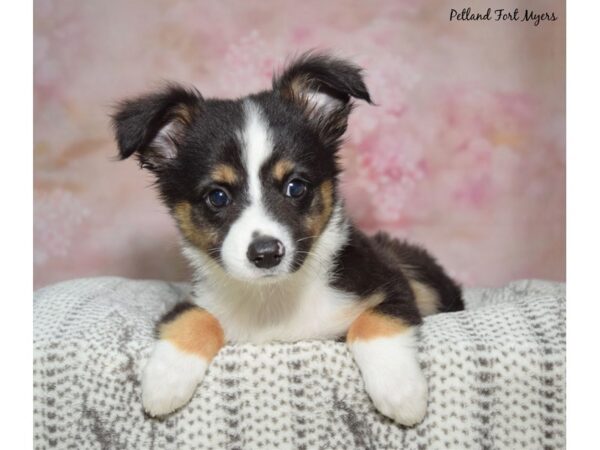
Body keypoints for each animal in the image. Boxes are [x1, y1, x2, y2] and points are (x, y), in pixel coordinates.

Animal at [112, 52, 462, 426]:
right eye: (217, 196)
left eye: (295, 187)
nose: (266, 253)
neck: (275, 299)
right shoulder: (200, 297)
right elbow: (190, 316)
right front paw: (165, 381)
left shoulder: (390, 282)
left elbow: (373, 322)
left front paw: (399, 391)